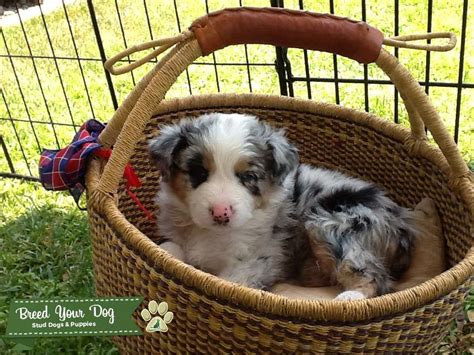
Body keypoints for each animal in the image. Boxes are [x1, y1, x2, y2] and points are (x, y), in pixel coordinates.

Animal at [149, 112, 418, 298]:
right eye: (198, 173)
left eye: (248, 176)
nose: (220, 212)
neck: (213, 234)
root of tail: (401, 223)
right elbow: (172, 246)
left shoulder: (259, 258)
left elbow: (230, 280)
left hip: (333, 224)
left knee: (374, 277)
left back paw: (348, 298)